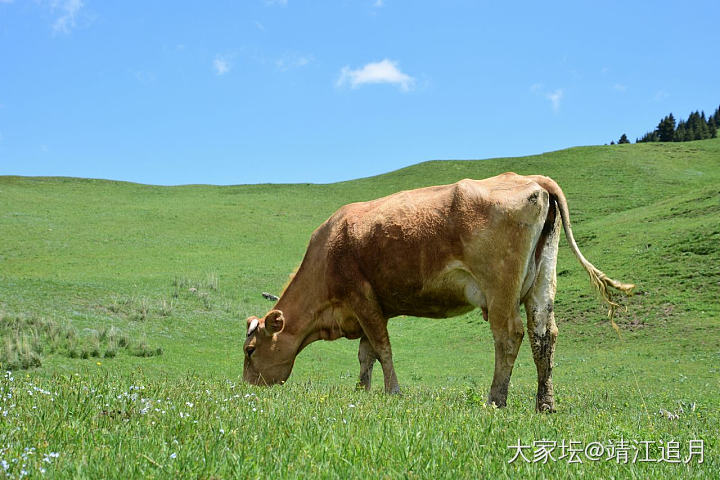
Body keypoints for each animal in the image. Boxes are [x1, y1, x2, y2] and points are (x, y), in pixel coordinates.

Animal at [245, 172, 632, 412]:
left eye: (250, 350)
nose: (247, 388)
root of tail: (533, 179)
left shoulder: (362, 296)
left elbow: (382, 349)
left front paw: (392, 392)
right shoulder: (372, 306)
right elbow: (365, 354)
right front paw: (362, 391)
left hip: (500, 288)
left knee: (509, 336)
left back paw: (495, 400)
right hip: (542, 282)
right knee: (543, 336)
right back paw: (545, 405)